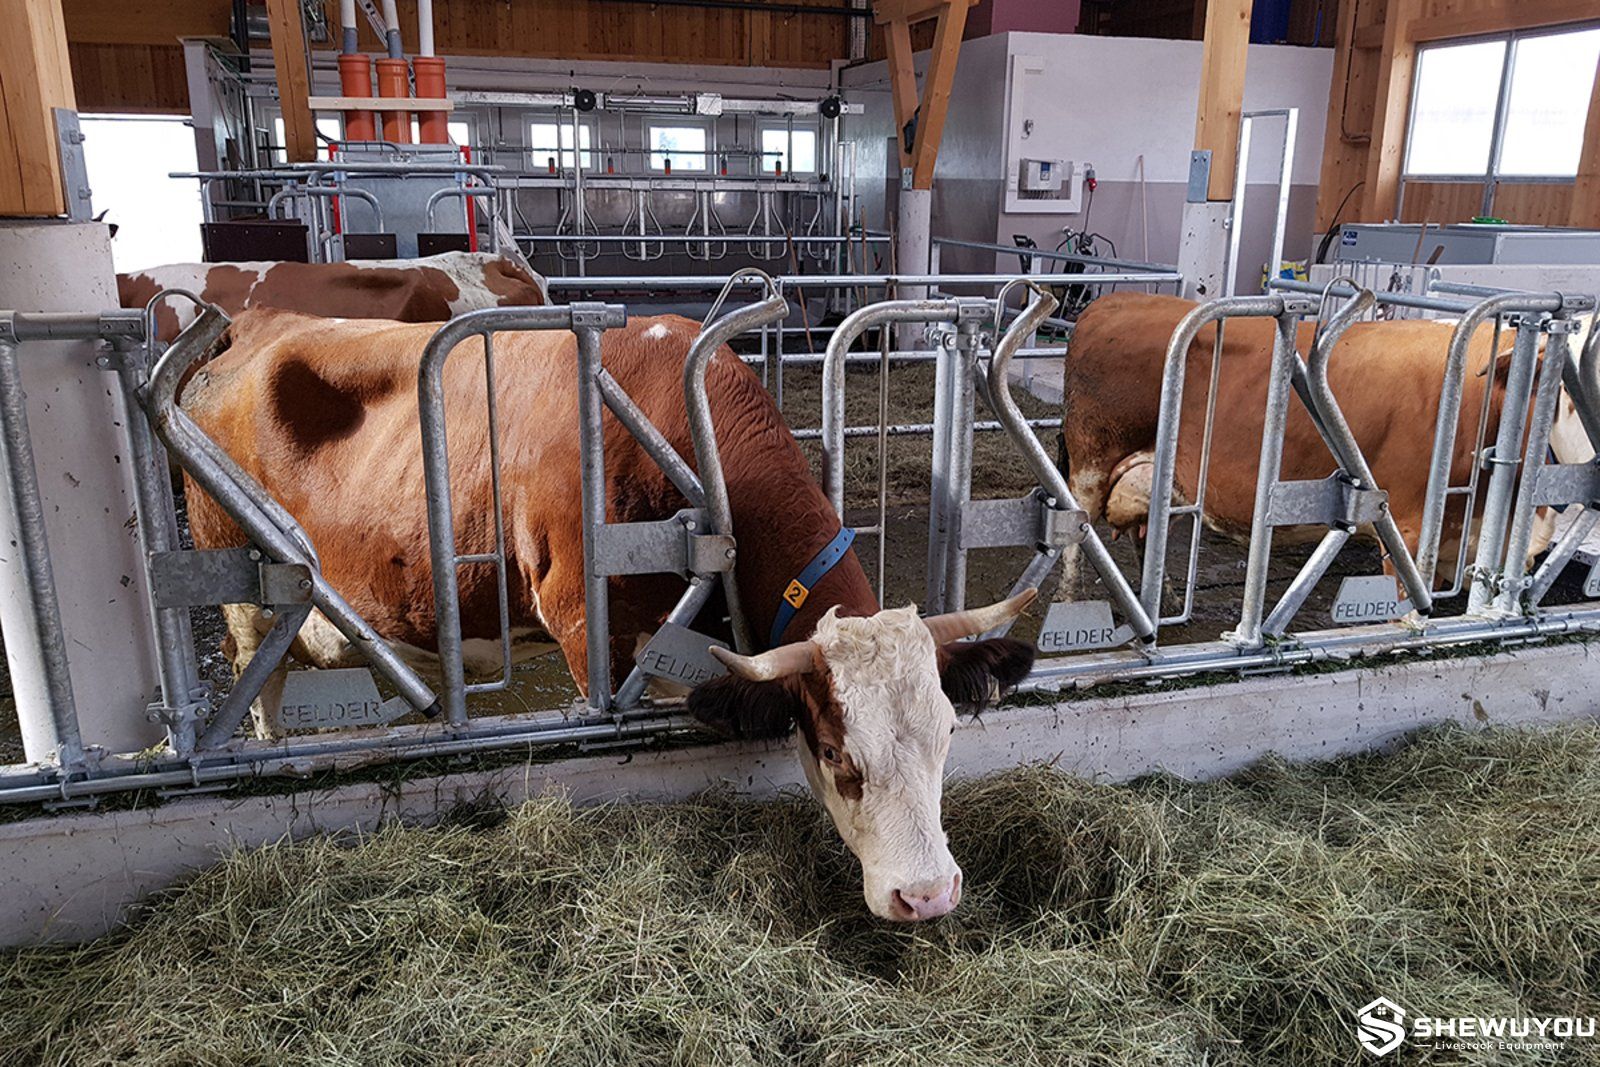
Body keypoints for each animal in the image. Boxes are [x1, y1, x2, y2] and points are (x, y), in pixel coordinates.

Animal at [181, 308, 1037, 921]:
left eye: (948, 731)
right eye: (833, 750)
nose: (929, 895)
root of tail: (251, 322)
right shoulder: (592, 636)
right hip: (252, 598)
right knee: (260, 694)